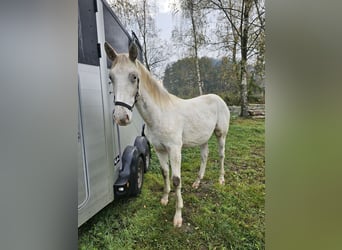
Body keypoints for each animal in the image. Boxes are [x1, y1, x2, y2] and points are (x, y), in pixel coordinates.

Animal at [104, 42, 230, 228]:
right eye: (111, 77)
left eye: (134, 76)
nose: (121, 117)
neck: (160, 115)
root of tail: (219, 98)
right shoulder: (159, 149)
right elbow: (164, 173)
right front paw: (164, 199)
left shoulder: (174, 149)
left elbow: (176, 179)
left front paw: (178, 216)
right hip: (203, 138)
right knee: (204, 156)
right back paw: (197, 182)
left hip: (221, 134)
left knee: (221, 155)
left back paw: (221, 180)